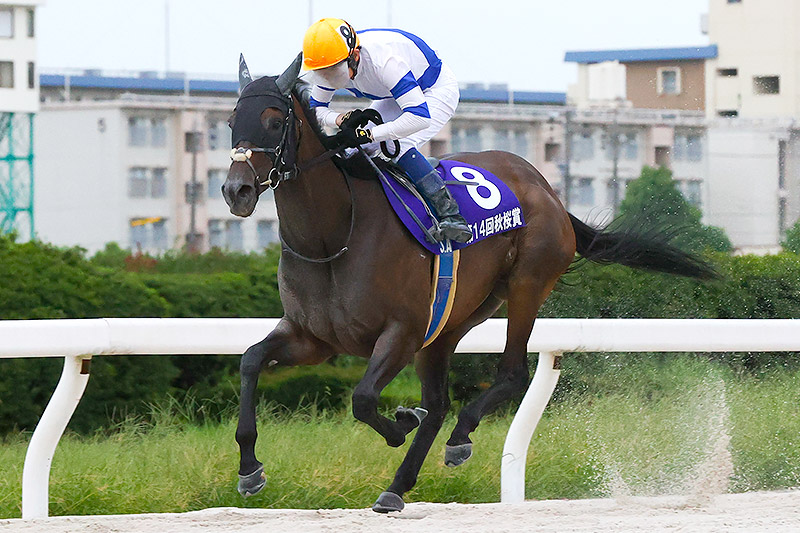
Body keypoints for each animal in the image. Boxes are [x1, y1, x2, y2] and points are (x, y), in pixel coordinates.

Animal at [222, 54, 716, 513]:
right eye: (230, 122)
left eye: (273, 120)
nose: (235, 190)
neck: (335, 235)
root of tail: (547, 189)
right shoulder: (314, 338)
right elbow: (250, 360)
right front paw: (249, 470)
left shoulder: (401, 333)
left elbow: (362, 399)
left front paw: (400, 423)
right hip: (453, 319)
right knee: (440, 402)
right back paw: (398, 486)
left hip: (526, 284)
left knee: (511, 373)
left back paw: (457, 436)